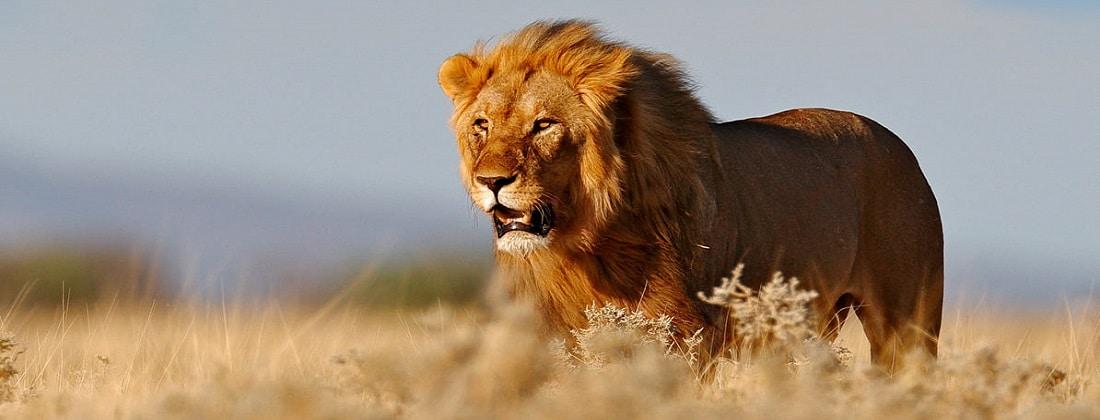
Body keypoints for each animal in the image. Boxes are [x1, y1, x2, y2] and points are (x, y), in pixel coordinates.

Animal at [437, 20, 943, 371]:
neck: (583, 244)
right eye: (482, 125)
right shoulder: (549, 334)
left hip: (907, 325)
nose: (492, 181)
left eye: (544, 125)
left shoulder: (685, 336)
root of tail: (901, 147)